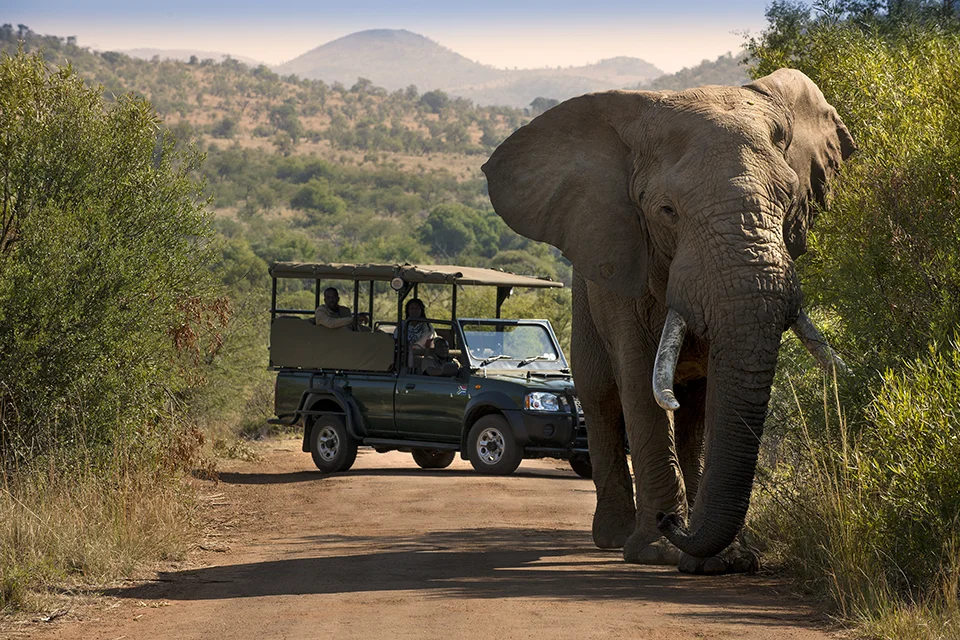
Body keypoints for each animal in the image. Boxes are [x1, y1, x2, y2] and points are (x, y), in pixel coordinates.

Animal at [482, 69, 855, 573]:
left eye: (788, 201)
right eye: (667, 212)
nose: (668, 522)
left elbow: (714, 395)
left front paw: (724, 560)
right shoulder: (621, 261)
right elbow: (640, 384)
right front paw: (657, 550)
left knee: (693, 407)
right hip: (586, 297)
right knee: (600, 396)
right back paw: (614, 537)